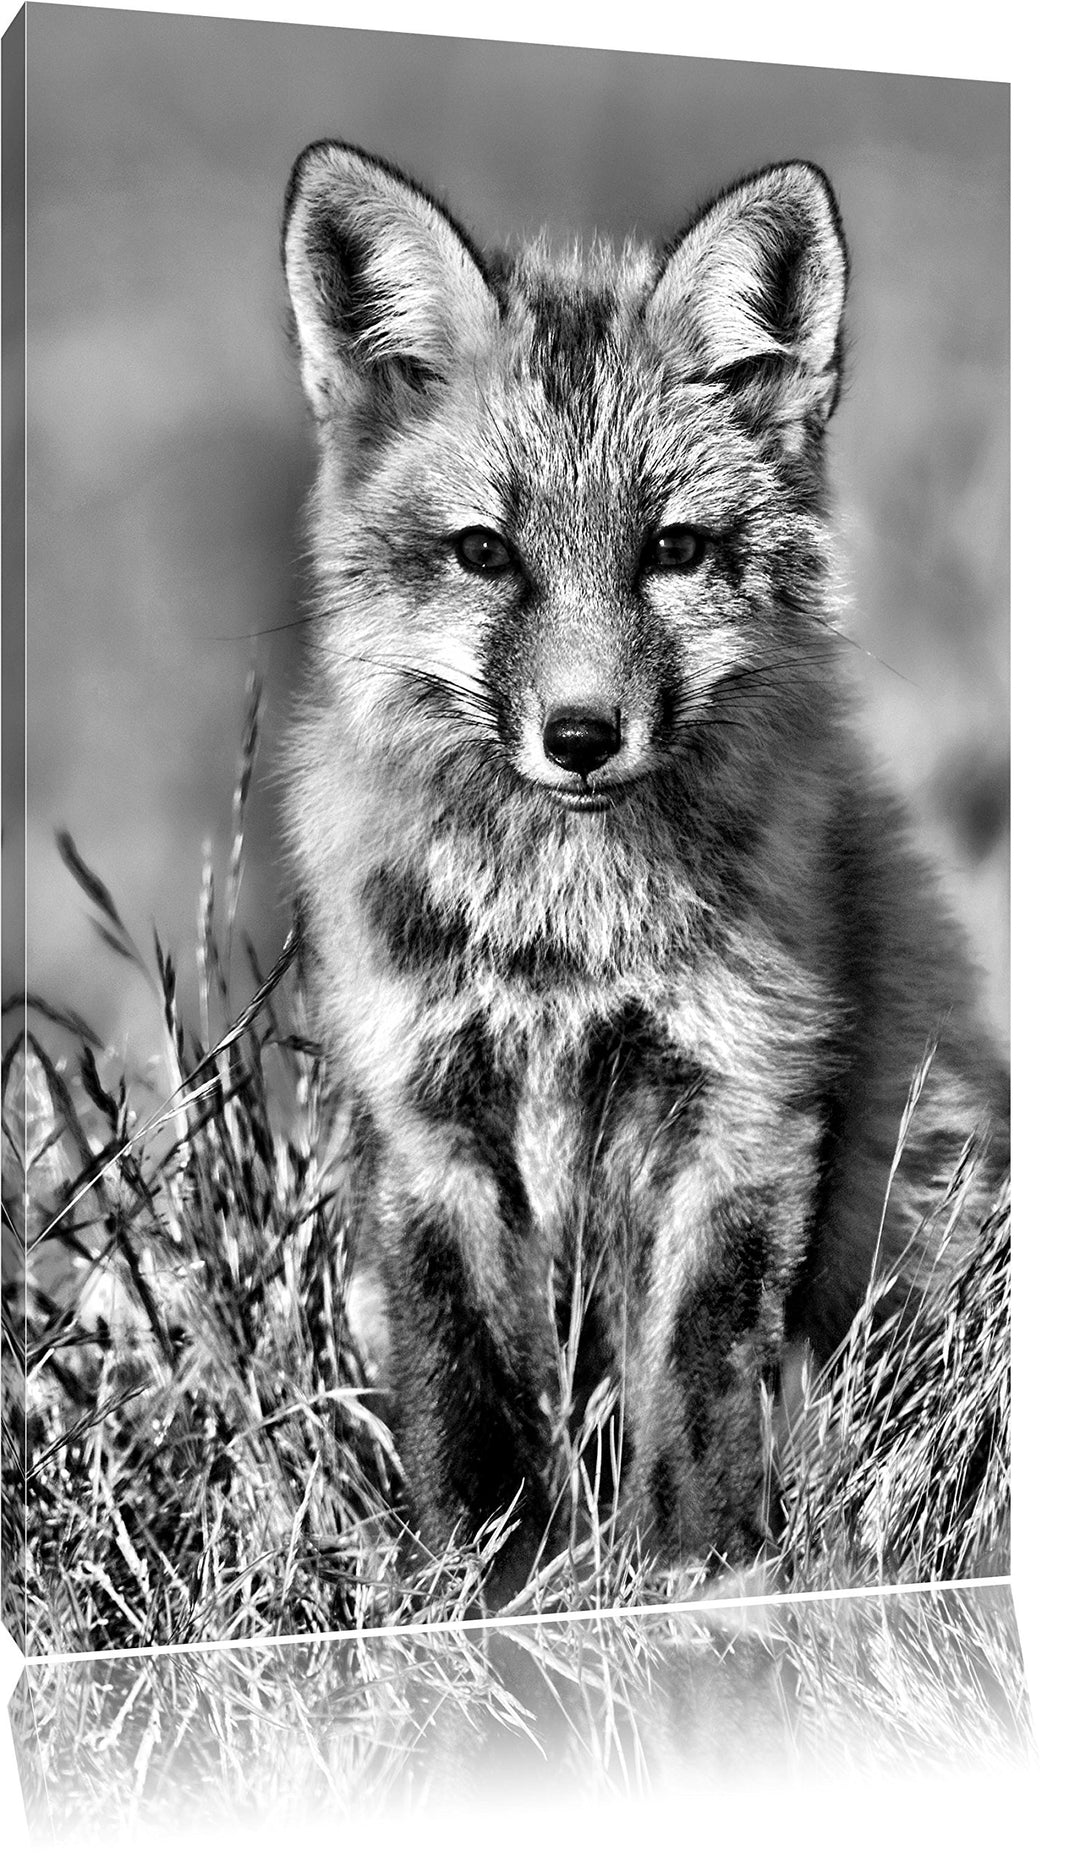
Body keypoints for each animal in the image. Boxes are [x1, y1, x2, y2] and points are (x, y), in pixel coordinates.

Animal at [280, 140, 1009, 1604]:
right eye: (485, 552)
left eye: (670, 550)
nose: (581, 734)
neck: (566, 940)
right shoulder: (427, 1110)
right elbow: (466, 1392)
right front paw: (484, 1595)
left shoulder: (742, 1097)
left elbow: (699, 1372)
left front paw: (701, 1580)